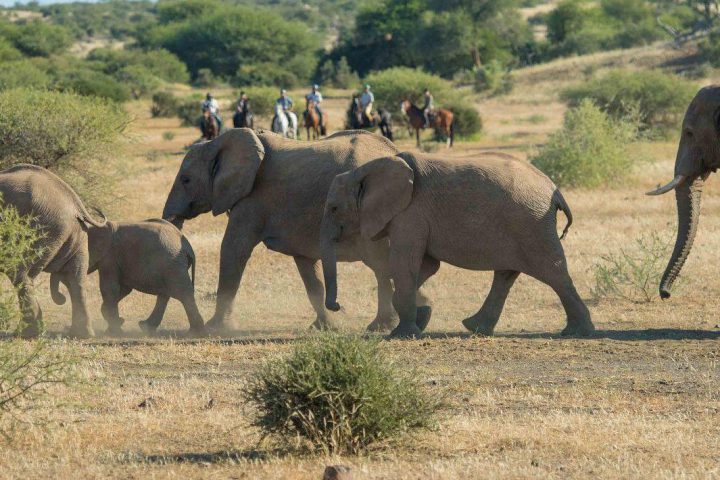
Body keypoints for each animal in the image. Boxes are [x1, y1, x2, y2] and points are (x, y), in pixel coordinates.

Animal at [0, 163, 105, 340]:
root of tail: (75, 204)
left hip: (40, 228)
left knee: (20, 273)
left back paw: (26, 334)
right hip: (77, 234)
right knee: (75, 279)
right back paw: (81, 335)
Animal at [51, 219, 204, 336]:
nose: (62, 298)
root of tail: (188, 247)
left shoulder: (110, 257)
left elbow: (109, 288)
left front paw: (114, 330)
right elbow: (123, 289)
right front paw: (118, 321)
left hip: (173, 263)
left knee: (182, 293)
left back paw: (195, 332)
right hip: (170, 265)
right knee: (165, 293)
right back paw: (145, 327)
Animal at [160, 126, 424, 330]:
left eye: (185, 179)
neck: (217, 142)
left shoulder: (253, 200)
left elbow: (234, 249)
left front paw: (215, 328)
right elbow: (308, 269)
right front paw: (324, 328)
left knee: (381, 264)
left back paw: (384, 325)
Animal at [322, 151, 596, 338]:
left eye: (334, 208)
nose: (337, 306)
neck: (367, 170)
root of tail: (554, 188)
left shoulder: (410, 214)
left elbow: (404, 264)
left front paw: (402, 334)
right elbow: (426, 267)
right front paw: (422, 315)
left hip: (531, 224)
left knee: (554, 273)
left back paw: (577, 332)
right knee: (506, 274)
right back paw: (475, 327)